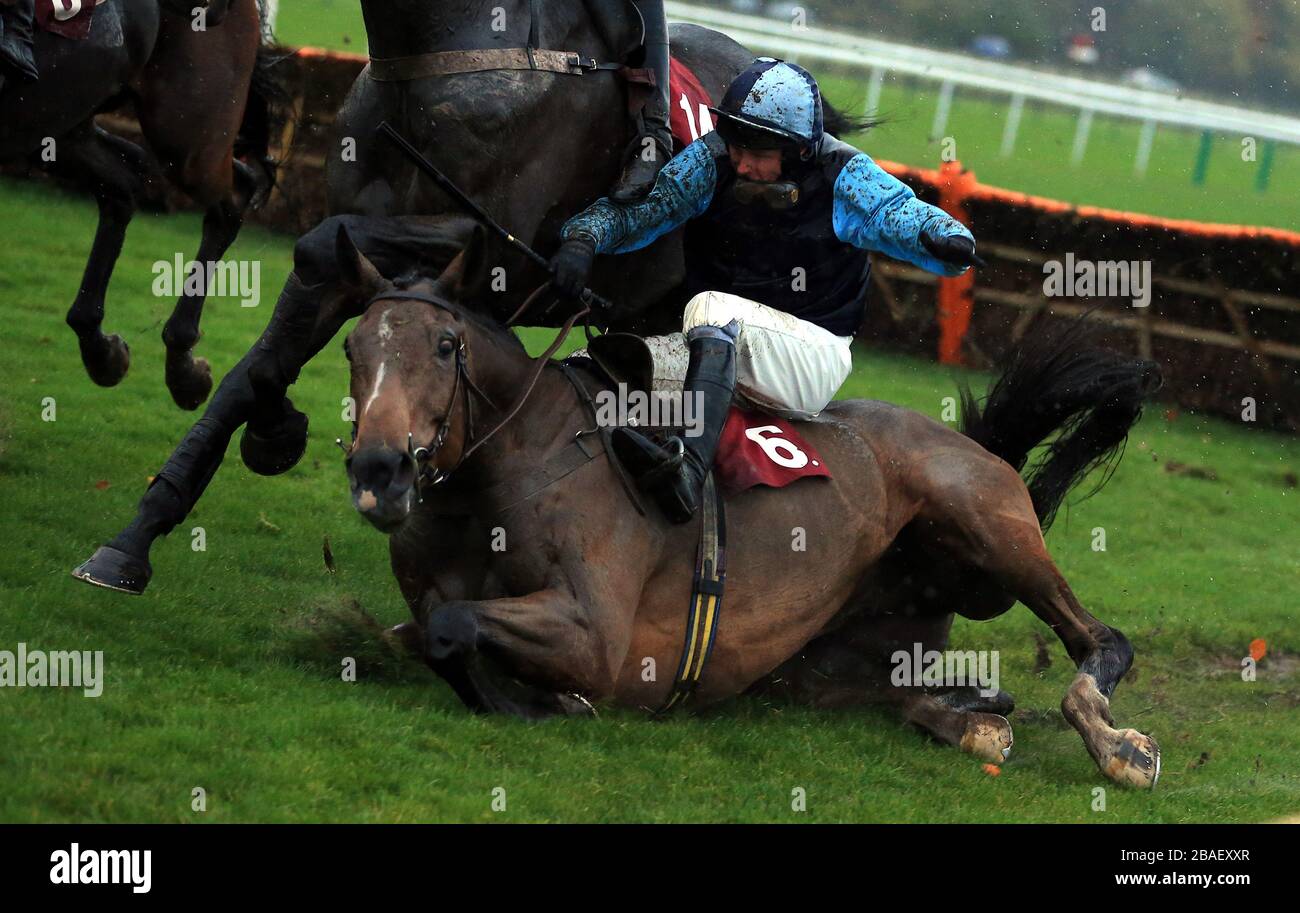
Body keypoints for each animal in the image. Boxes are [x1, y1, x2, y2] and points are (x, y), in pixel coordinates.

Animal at [0, 0, 282, 408]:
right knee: (122, 182)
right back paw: (102, 350)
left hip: (188, 135)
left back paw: (183, 368)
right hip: (63, 123)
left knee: (232, 198)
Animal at [340, 230, 1164, 795]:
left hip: (985, 527)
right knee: (910, 693)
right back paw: (978, 720)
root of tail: (971, 443)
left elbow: (452, 629)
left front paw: (549, 704)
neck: (512, 463)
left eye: (445, 345)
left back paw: (1115, 744)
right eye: (352, 347)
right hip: (822, 660)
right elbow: (417, 629)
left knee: (1099, 640)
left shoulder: (597, 632)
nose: (379, 469)